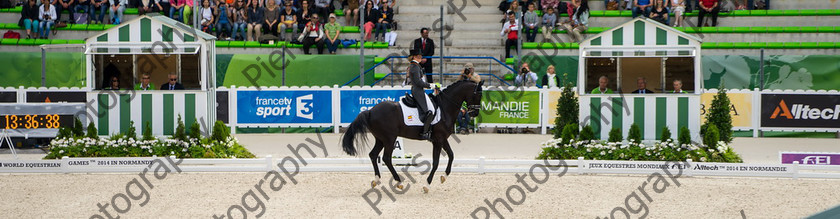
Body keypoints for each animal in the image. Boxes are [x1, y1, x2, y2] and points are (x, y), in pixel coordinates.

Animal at [342, 80, 486, 192]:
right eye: (478, 95)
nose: (474, 113)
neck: (445, 107)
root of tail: (370, 111)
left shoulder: (442, 139)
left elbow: (451, 155)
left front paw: (444, 176)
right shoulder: (438, 140)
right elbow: (436, 162)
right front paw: (427, 185)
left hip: (381, 139)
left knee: (373, 155)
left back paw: (376, 180)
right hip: (389, 139)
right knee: (386, 158)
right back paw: (398, 182)